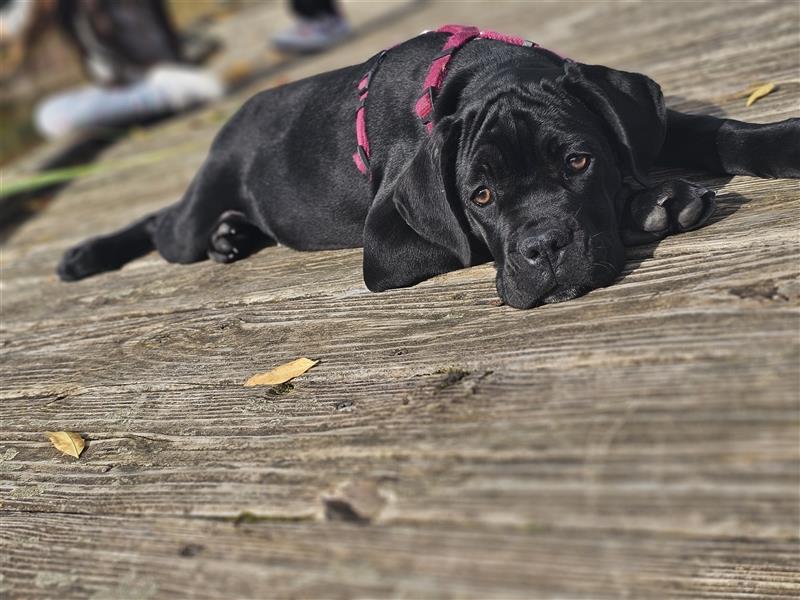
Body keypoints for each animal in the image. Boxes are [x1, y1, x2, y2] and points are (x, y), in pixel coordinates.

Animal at [61, 25, 800, 308]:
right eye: (480, 197)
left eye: (578, 160)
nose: (543, 250)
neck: (483, 77)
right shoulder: (389, 242)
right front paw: (652, 203)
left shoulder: (639, 123)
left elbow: (711, 130)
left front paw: (781, 141)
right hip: (196, 203)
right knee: (165, 222)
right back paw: (89, 253)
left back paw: (233, 235)